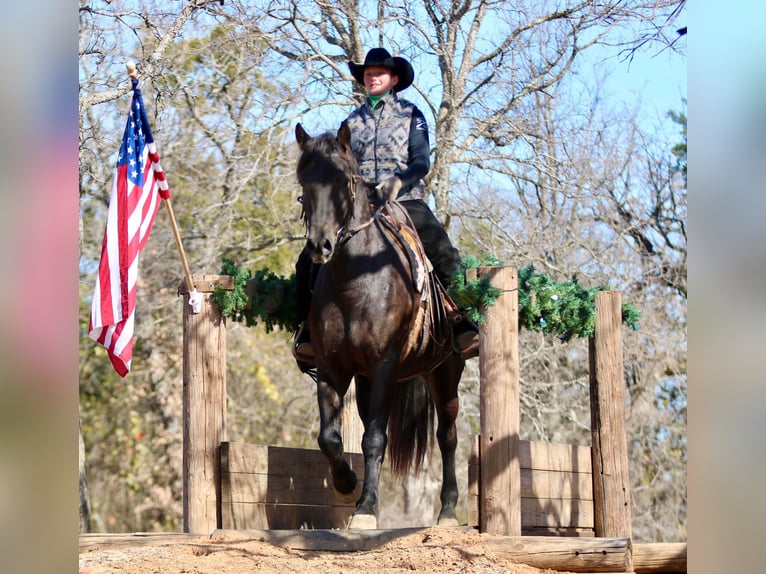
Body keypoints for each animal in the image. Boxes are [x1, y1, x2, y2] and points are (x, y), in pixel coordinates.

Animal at [294, 122, 464, 532]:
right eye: (304, 181)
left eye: (344, 180)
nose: (320, 246)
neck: (355, 279)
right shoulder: (333, 369)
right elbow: (329, 438)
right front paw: (346, 485)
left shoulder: (384, 367)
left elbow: (374, 438)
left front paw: (367, 508)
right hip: (367, 381)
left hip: (445, 373)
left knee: (447, 436)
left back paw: (448, 510)